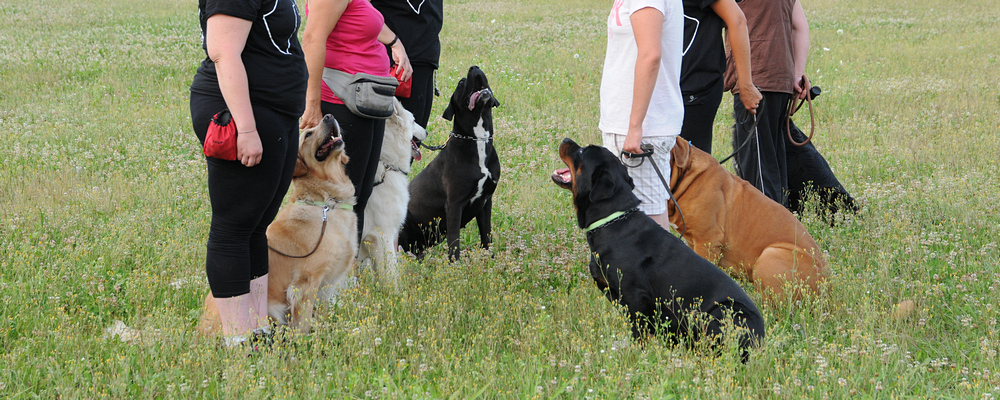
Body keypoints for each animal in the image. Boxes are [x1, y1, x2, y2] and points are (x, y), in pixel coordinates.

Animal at [197, 114, 358, 332]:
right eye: (308, 135)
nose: (328, 116)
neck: (325, 203)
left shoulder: (327, 284)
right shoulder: (307, 281)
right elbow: (303, 324)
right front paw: (306, 340)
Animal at [400, 66, 500, 260]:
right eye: (461, 82)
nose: (474, 67)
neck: (478, 140)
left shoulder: (486, 201)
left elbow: (487, 237)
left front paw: (492, 261)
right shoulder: (454, 204)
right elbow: (454, 243)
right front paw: (455, 264)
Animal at [552, 138, 760, 360]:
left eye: (582, 152)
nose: (566, 140)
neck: (613, 219)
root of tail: (761, 338)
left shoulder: (635, 297)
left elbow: (639, 333)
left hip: (720, 312)